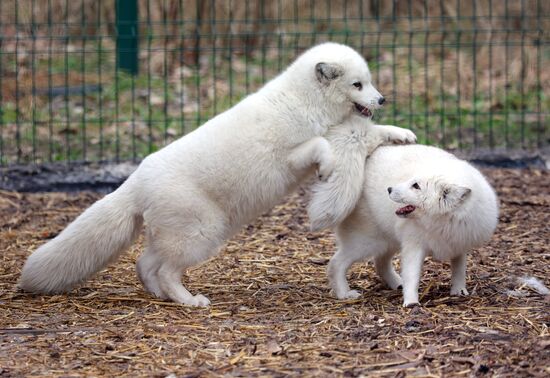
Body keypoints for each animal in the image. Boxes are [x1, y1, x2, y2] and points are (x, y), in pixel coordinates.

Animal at [18, 42, 418, 306]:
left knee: (145, 265)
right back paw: (190, 300)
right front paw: (328, 167)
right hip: (203, 234)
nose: (382, 99)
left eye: (369, 82)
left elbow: (378, 132)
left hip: (175, 236)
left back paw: (162, 296)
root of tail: (135, 182)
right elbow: (320, 145)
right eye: (357, 85)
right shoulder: (292, 157)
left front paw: (404, 133)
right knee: (165, 269)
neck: (303, 102)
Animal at [310, 145, 500, 308]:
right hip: (366, 243)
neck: (442, 222)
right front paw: (411, 302)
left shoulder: (458, 244)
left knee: (380, 263)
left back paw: (396, 284)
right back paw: (344, 294)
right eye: (412, 181)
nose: (389, 189)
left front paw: (459, 291)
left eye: (416, 186)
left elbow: (459, 270)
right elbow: (412, 275)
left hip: (388, 242)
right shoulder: (413, 245)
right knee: (336, 264)